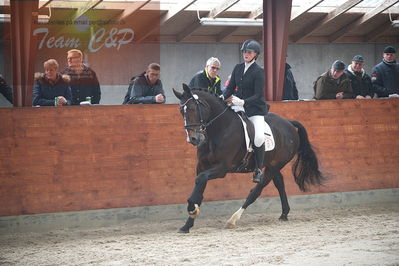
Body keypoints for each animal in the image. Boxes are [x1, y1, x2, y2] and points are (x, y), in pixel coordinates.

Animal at [173, 84, 324, 233]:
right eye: (181, 111)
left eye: (192, 108)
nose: (193, 139)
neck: (220, 130)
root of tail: (289, 123)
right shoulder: (202, 166)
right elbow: (199, 190)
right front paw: (187, 224)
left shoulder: (221, 169)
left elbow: (200, 180)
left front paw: (192, 209)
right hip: (272, 164)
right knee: (280, 183)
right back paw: (284, 214)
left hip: (275, 166)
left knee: (256, 191)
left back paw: (233, 220)